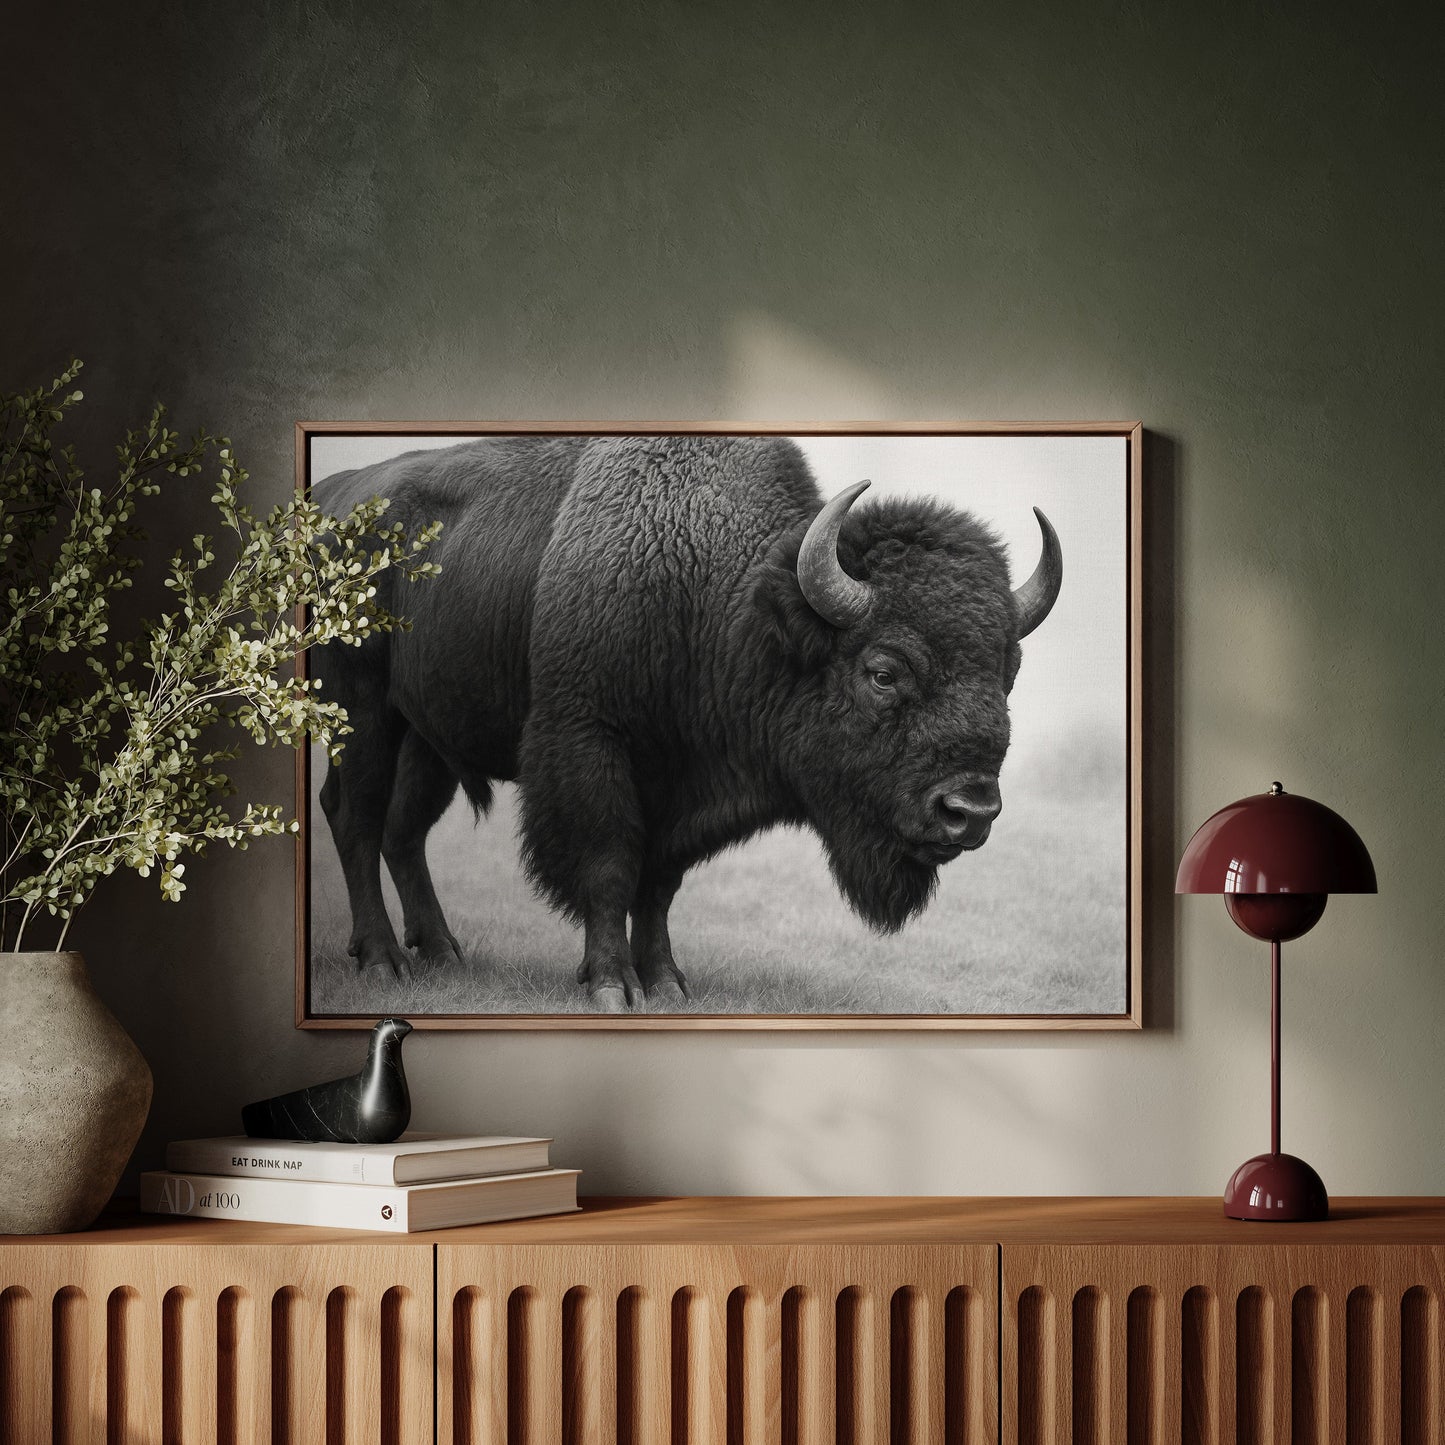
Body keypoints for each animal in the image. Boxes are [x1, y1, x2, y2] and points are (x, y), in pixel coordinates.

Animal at [313, 434, 1061, 1011]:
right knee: (356, 818)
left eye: (1008, 671)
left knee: (403, 831)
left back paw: (443, 951)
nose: (969, 810)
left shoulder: (678, 794)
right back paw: (381, 960)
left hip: (426, 738)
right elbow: (610, 866)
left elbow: (658, 884)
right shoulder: (592, 746)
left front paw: (667, 981)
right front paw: (611, 985)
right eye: (882, 671)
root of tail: (328, 500)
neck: (723, 596)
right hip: (362, 715)